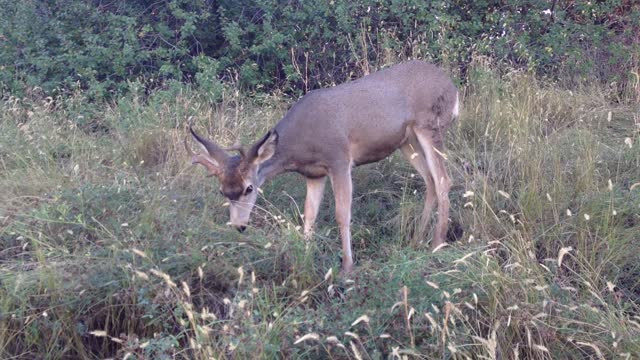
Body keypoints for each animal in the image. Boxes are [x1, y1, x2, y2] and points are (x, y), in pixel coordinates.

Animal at [185, 60, 460, 272]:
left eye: (249, 188)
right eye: (222, 191)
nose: (239, 226)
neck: (299, 146)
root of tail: (453, 87)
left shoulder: (339, 159)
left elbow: (342, 213)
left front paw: (347, 266)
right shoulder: (314, 174)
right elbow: (309, 214)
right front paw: (306, 254)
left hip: (430, 125)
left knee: (444, 179)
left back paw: (437, 243)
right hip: (407, 142)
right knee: (429, 180)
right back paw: (416, 240)